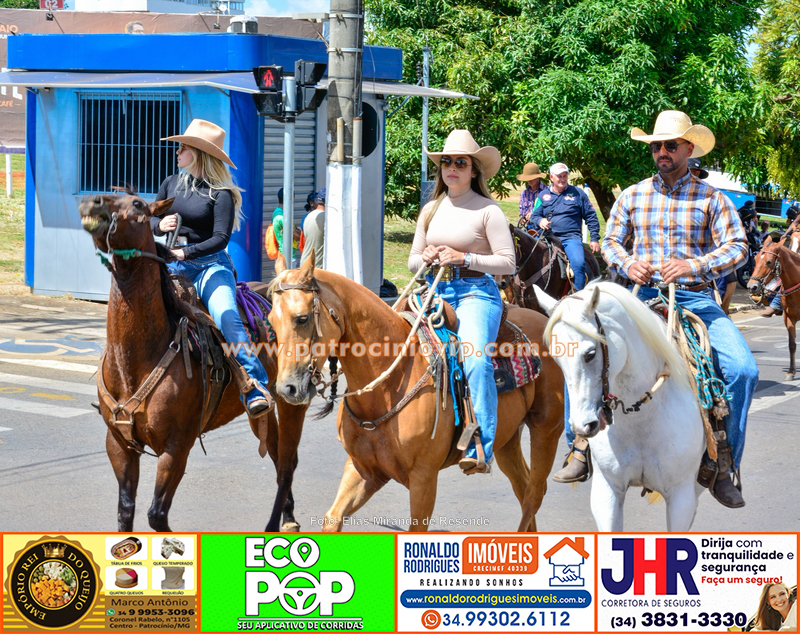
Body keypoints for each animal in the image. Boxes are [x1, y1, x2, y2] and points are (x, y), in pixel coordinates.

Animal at [79, 193, 309, 532]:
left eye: (137, 204)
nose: (91, 201)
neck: (137, 361)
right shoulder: (118, 444)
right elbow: (125, 511)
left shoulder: (176, 448)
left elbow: (157, 514)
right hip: (263, 415)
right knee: (280, 456)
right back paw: (288, 516)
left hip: (293, 402)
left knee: (288, 464)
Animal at [267, 256, 565, 532]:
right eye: (271, 321)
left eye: (302, 318)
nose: (286, 388)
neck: (388, 386)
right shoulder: (363, 470)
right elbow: (332, 519)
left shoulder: (423, 479)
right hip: (507, 439)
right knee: (523, 487)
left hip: (547, 429)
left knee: (534, 493)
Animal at [532, 282, 706, 531]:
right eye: (556, 357)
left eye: (590, 354)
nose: (583, 426)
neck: (642, 418)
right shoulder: (607, 489)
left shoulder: (681, 497)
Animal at [747, 234, 800, 379]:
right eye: (755, 259)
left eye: (769, 262)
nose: (752, 286)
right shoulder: (789, 317)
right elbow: (791, 344)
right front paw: (791, 372)